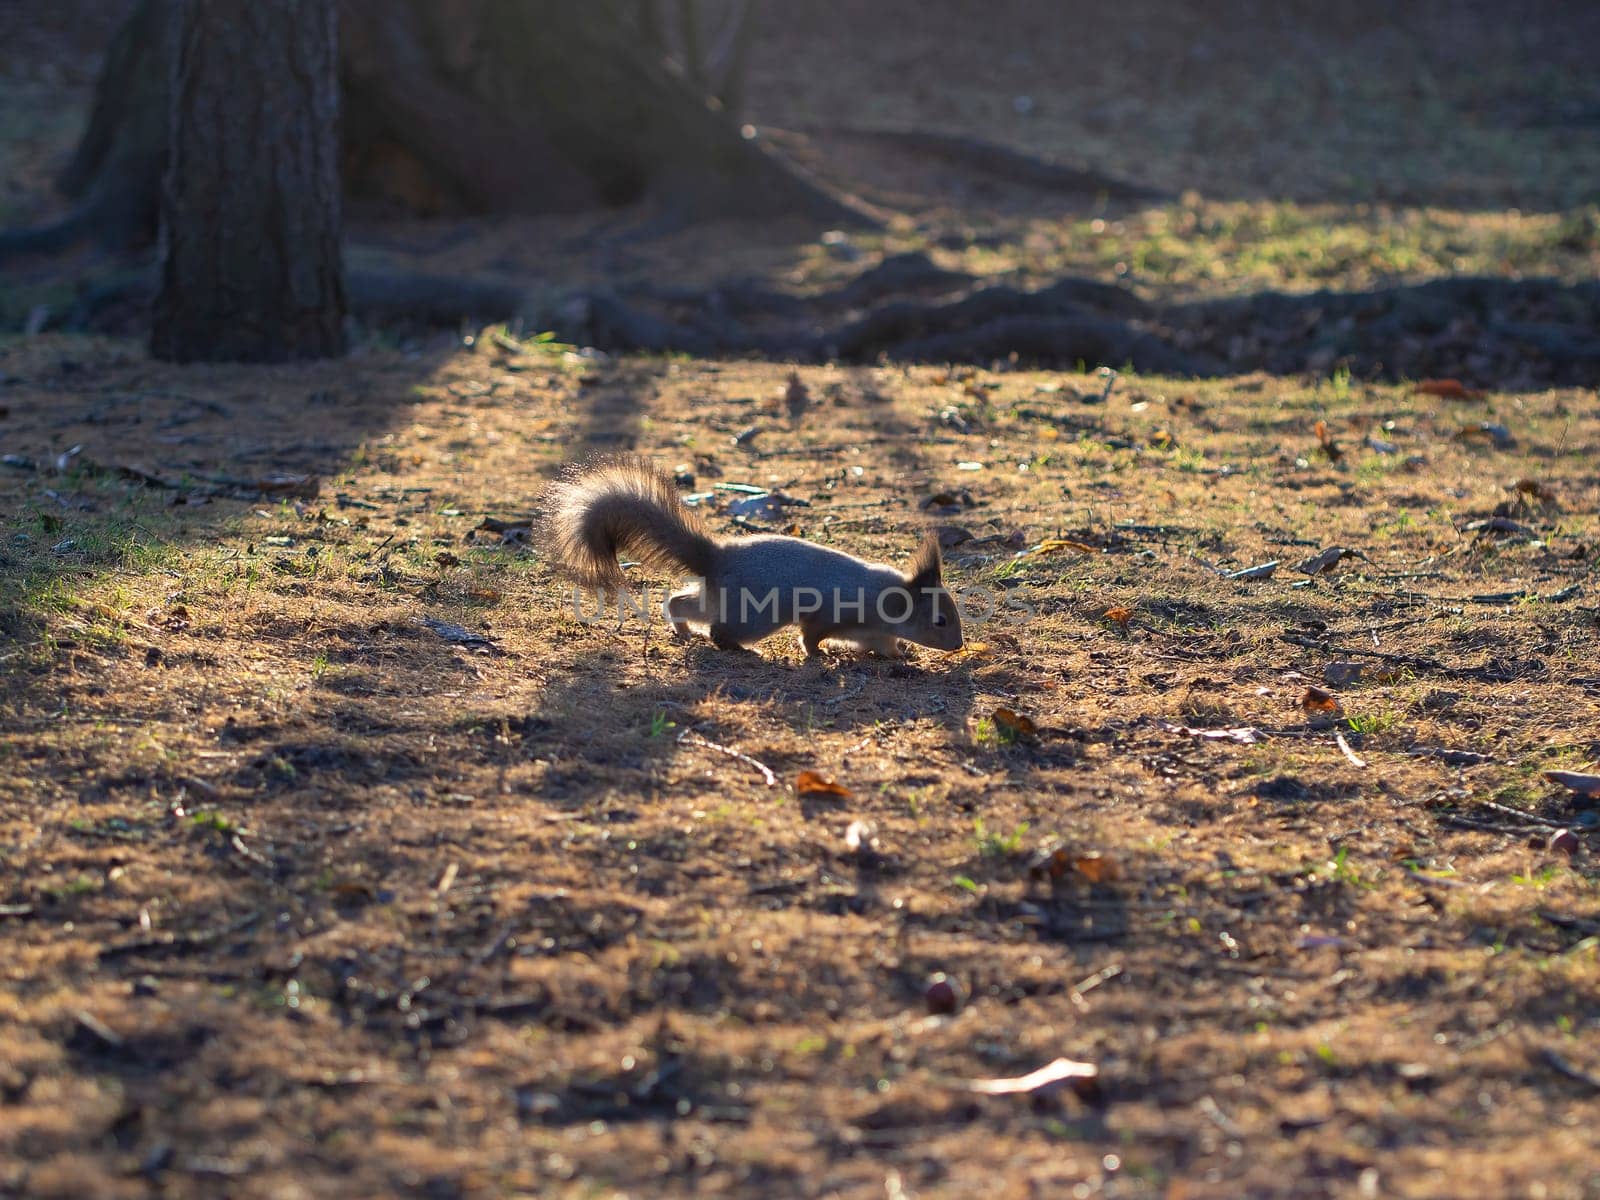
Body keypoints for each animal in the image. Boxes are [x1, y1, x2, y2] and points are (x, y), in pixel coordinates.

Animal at [544, 457, 960, 659]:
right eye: (939, 621)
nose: (957, 646)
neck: (884, 600)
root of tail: (716, 558)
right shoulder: (829, 615)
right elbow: (810, 637)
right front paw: (819, 655)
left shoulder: (875, 634)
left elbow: (885, 647)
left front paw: (904, 655)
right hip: (754, 614)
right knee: (720, 632)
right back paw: (743, 648)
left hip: (719, 599)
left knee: (680, 602)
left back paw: (683, 630)